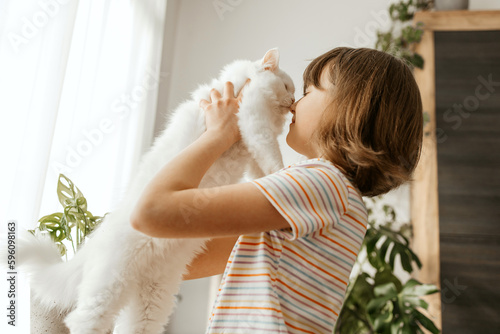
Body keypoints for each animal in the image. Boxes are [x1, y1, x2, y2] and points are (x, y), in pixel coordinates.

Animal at [13, 49, 294, 334]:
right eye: (287, 86)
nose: (294, 102)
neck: (238, 82)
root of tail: (91, 243)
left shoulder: (250, 148)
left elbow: (260, 171)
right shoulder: (253, 118)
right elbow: (270, 154)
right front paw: (285, 169)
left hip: (151, 300)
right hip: (111, 285)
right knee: (81, 320)